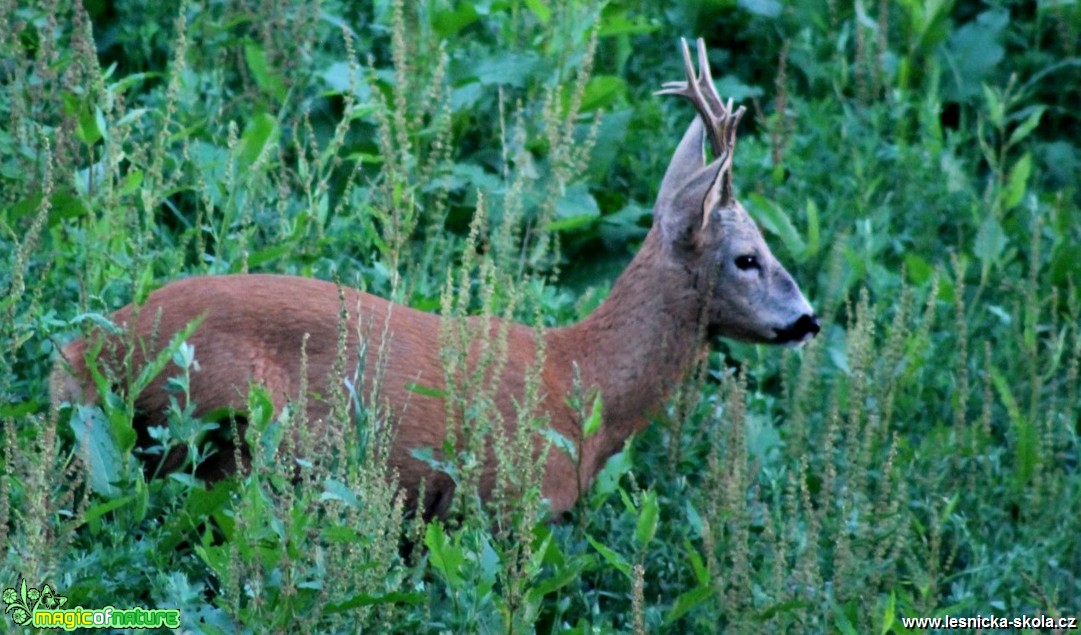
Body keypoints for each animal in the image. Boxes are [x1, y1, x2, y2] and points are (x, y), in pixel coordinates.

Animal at [48, 37, 812, 519]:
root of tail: (86, 351)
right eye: (748, 257)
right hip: (225, 422)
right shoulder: (501, 501)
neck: (582, 385)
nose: (807, 319)